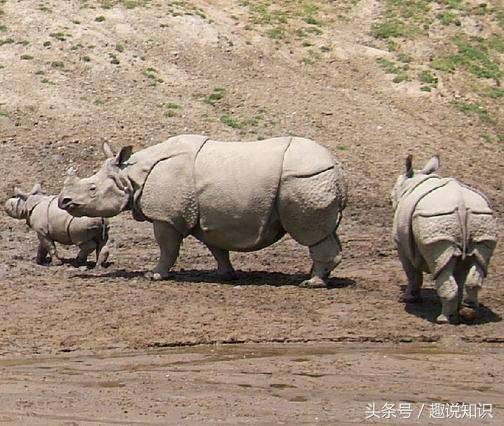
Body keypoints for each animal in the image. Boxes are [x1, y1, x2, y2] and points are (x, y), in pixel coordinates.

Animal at [58, 135, 346, 286]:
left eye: (92, 188)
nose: (63, 201)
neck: (130, 174)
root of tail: (337, 164)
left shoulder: (165, 217)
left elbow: (168, 248)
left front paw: (155, 275)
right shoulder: (207, 214)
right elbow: (216, 247)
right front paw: (224, 274)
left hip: (304, 179)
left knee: (312, 234)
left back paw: (312, 283)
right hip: (311, 179)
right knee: (325, 232)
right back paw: (317, 276)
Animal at [390, 155, 496, 324]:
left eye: (393, 191)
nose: (390, 200)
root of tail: (461, 203)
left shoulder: (401, 245)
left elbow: (413, 274)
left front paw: (408, 298)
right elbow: (459, 275)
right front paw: (458, 306)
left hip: (435, 217)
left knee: (439, 264)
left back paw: (443, 319)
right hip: (480, 217)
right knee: (478, 261)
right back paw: (468, 313)